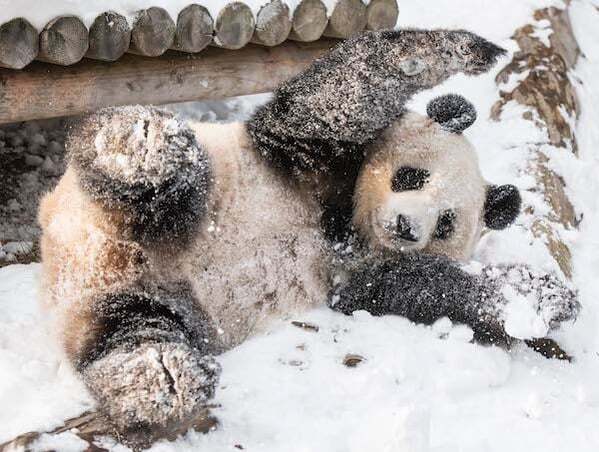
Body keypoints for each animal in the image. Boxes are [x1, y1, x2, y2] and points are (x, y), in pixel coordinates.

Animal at [36, 30, 576, 442]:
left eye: (445, 223)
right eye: (410, 177)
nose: (405, 227)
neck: (344, 223)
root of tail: (81, 253)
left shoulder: (358, 276)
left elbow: (421, 287)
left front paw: (542, 299)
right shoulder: (302, 157)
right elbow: (338, 94)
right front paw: (468, 49)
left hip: (144, 303)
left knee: (129, 332)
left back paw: (165, 377)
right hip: (164, 192)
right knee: (153, 169)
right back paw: (143, 148)